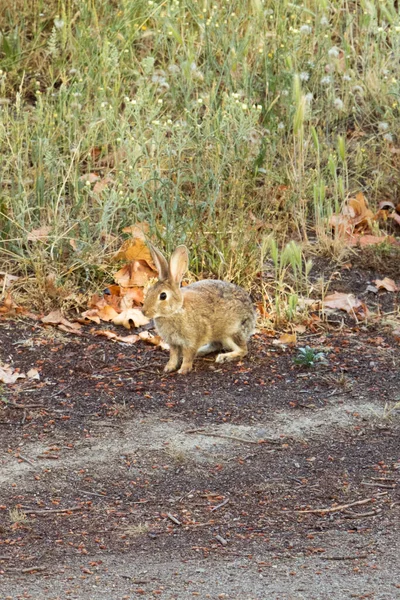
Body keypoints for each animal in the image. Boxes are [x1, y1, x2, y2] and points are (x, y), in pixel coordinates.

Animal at [143, 245, 256, 376]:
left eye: (163, 296)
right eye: (149, 290)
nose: (144, 312)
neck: (176, 311)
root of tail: (252, 315)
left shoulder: (191, 341)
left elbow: (188, 356)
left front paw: (183, 370)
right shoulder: (173, 344)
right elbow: (174, 356)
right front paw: (169, 368)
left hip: (232, 332)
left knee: (243, 350)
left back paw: (224, 357)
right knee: (216, 344)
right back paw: (202, 351)